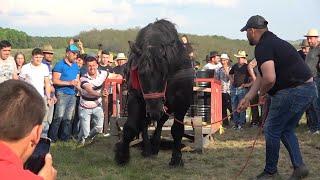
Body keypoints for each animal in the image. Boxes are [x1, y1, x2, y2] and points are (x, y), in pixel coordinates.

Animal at [115, 19, 194, 167]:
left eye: (164, 73)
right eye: (140, 73)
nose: (154, 110)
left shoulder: (182, 101)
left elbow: (177, 129)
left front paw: (176, 158)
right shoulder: (136, 97)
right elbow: (131, 127)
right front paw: (122, 155)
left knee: (161, 121)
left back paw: (156, 144)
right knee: (144, 122)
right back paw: (148, 148)